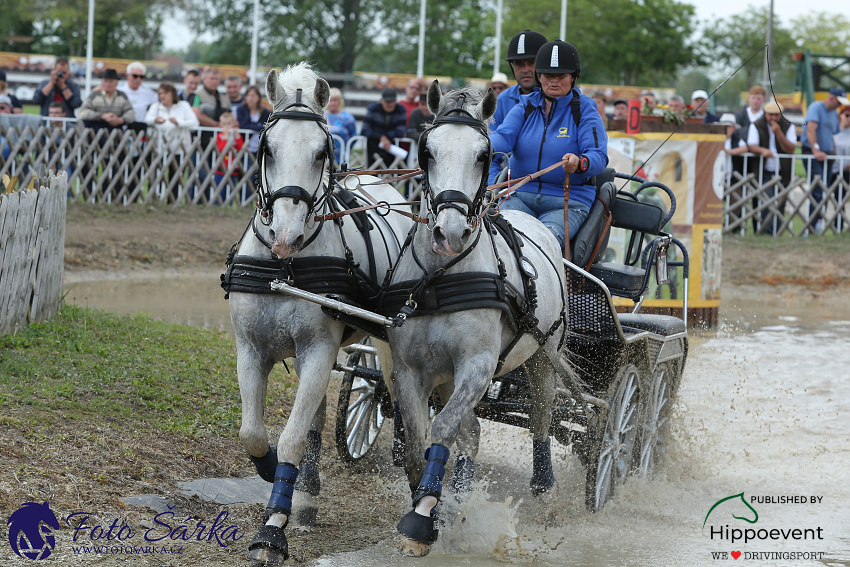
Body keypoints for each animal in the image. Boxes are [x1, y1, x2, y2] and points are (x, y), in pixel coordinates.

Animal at [225, 62, 410, 564]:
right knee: (318, 414)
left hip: (384, 341)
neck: (283, 266)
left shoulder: (318, 349)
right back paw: (306, 489)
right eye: (266, 148)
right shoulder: (250, 349)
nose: (286, 235)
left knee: (398, 392)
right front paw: (273, 473)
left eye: (322, 151)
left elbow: (289, 436)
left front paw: (272, 529)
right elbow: (253, 432)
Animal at [384, 84, 568, 556]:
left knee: (540, 419)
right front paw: (430, 510)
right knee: (473, 433)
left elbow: (443, 427)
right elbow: (418, 442)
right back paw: (458, 497)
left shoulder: (478, 366)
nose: (450, 234)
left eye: (484, 155)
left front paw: (421, 518)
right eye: (426, 151)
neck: (440, 277)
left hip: (543, 357)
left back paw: (545, 487)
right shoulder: (410, 370)